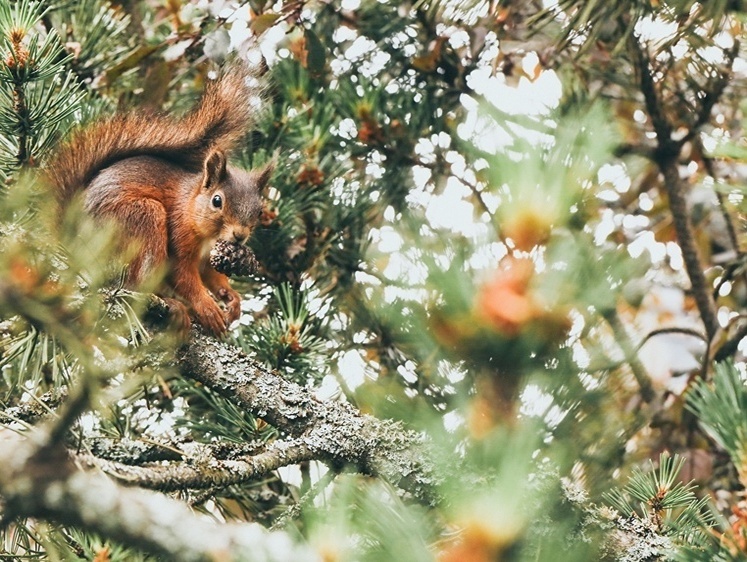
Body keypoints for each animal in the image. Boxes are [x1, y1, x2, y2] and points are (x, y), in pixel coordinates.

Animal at [44, 67, 272, 334]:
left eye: (260, 211)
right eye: (217, 201)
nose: (239, 236)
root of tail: (73, 241)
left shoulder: (208, 258)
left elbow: (212, 276)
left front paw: (232, 300)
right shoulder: (179, 235)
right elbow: (184, 276)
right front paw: (207, 307)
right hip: (141, 218)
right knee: (134, 284)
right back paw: (172, 305)